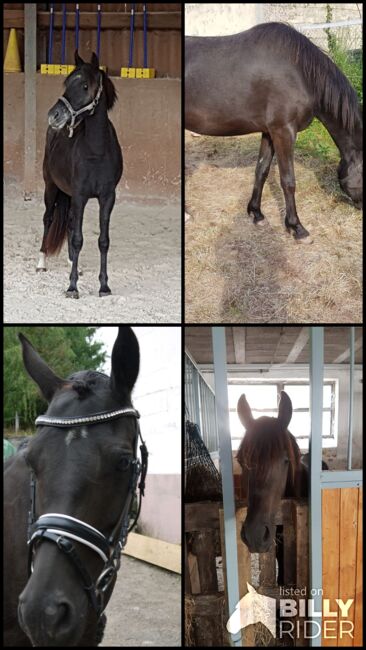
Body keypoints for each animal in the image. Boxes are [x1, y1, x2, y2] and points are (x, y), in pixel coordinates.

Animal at [37, 52, 123, 298]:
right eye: (66, 83)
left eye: (85, 85)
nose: (54, 115)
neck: (97, 152)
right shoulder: (80, 195)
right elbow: (77, 239)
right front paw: (72, 287)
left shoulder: (107, 198)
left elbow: (103, 241)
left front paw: (104, 286)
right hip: (51, 187)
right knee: (48, 218)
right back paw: (41, 263)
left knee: (69, 222)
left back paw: (70, 262)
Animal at [186, 22, 364, 242]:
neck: (301, 74)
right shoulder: (283, 131)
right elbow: (288, 180)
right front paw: (297, 228)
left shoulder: (269, 132)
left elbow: (261, 170)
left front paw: (256, 213)